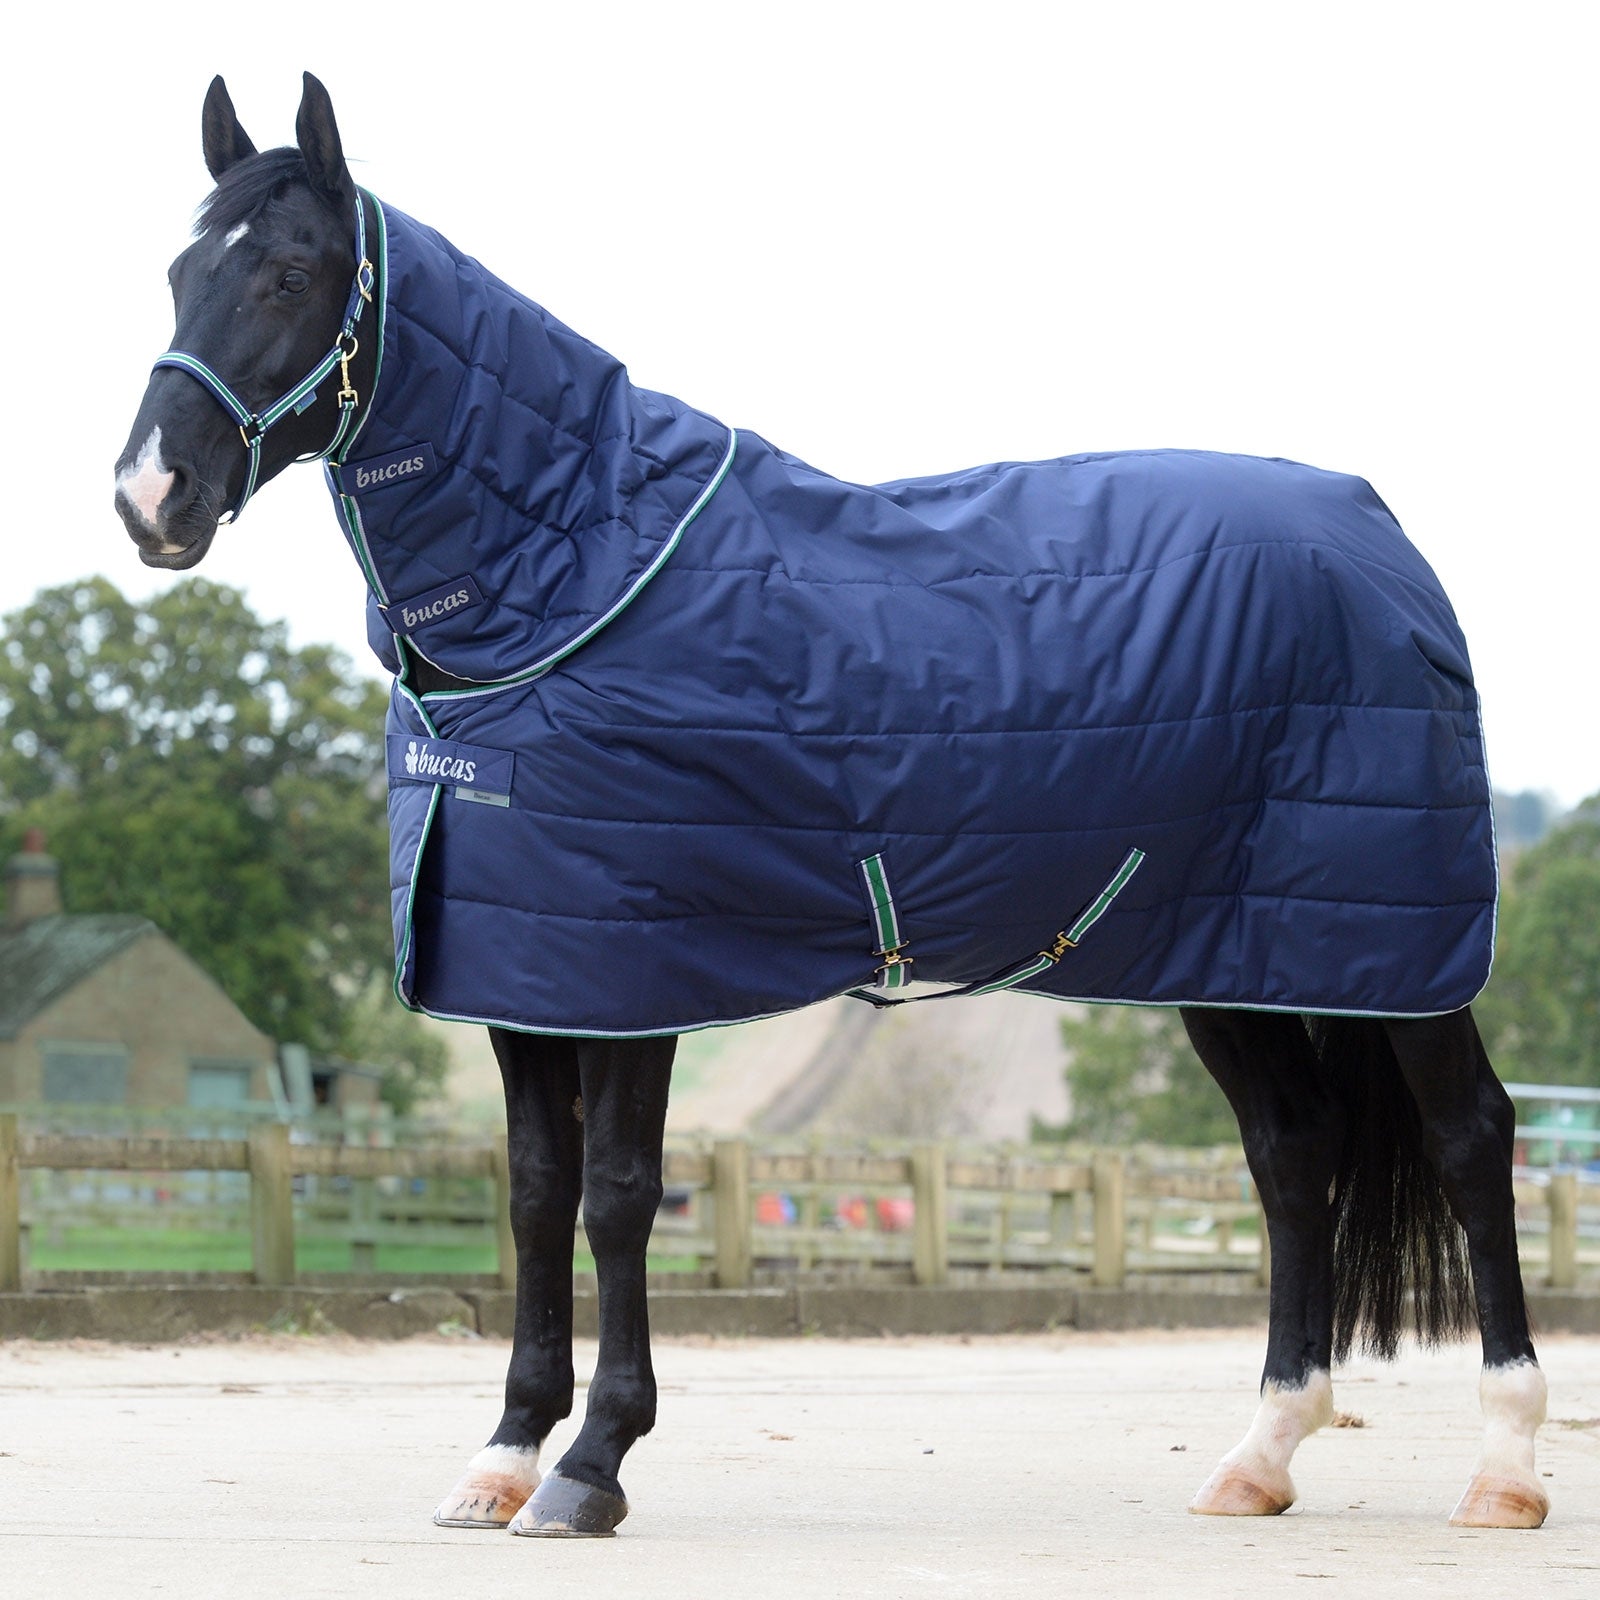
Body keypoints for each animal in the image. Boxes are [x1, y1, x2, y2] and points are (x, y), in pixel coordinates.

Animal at [113, 73, 1548, 1537]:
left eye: (291, 273)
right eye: (178, 272)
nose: (150, 497)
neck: (576, 571)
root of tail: (1381, 537)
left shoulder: (634, 970)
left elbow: (616, 1198)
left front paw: (590, 1466)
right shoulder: (523, 968)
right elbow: (532, 1195)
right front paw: (504, 1454)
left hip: (1399, 952)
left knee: (1470, 1139)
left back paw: (1502, 1468)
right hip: (1237, 954)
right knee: (1292, 1155)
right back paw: (1259, 1455)